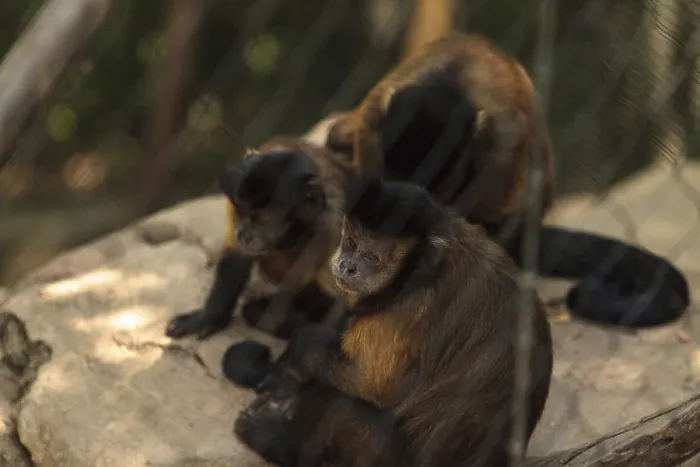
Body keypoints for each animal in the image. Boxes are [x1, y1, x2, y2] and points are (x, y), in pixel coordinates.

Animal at [164, 136, 354, 344]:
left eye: (260, 220)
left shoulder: (330, 222)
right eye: (242, 211)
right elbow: (238, 256)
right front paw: (208, 318)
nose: (243, 234)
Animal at [233, 176, 554, 467]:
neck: (427, 263)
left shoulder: (408, 307)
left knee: (330, 401)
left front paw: (298, 350)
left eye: (371, 257)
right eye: (350, 242)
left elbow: (372, 385)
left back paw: (277, 444)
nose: (347, 266)